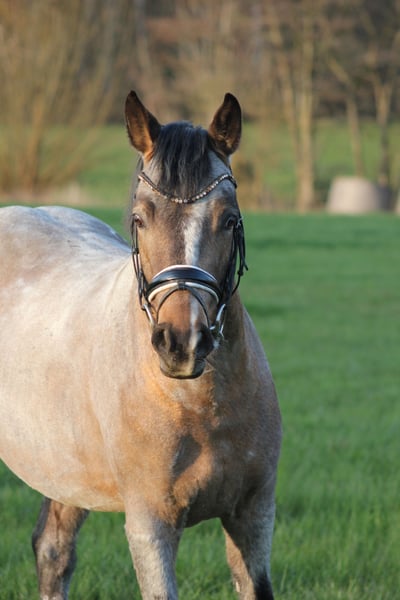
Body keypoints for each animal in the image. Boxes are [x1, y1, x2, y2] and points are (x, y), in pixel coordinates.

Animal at [0, 91, 282, 599]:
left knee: (53, 551)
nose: (182, 341)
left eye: (229, 220)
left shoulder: (253, 516)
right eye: (139, 219)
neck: (198, 405)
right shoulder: (151, 526)